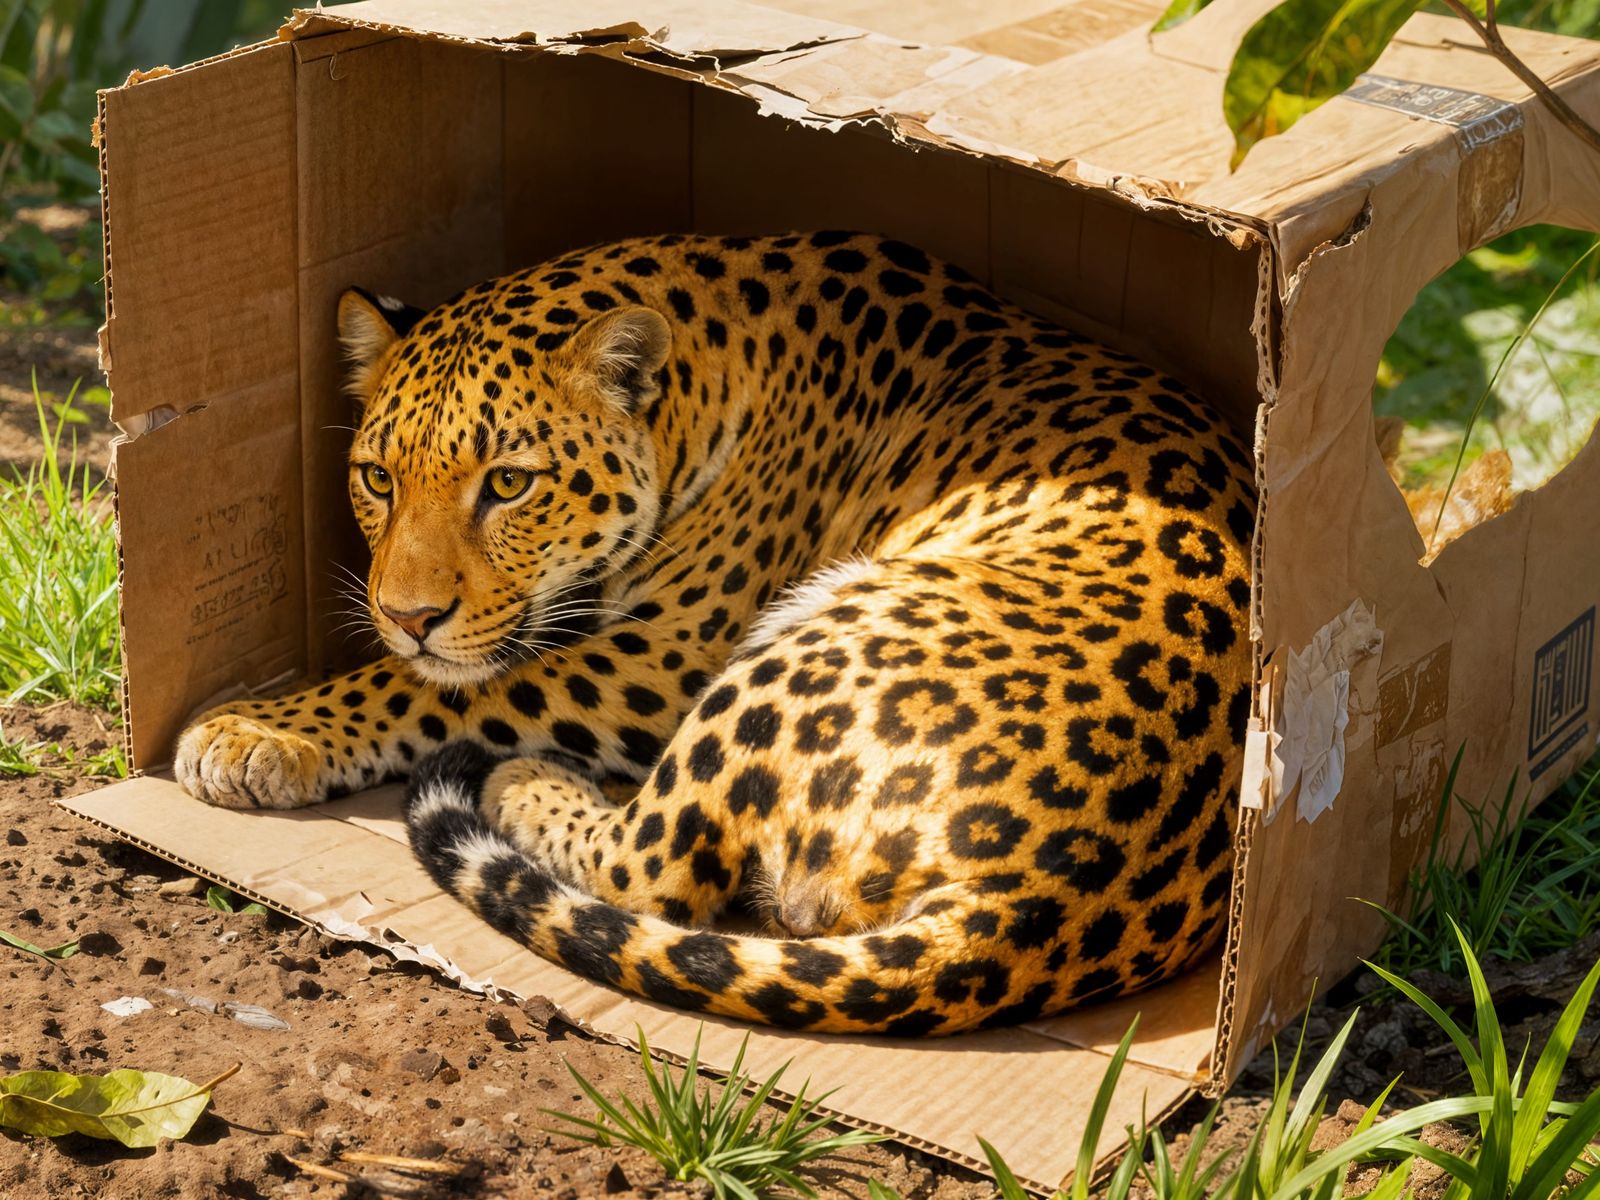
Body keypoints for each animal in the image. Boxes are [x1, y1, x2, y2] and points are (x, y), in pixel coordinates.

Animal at [175, 231, 1256, 1036]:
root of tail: (1027, 906)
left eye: (510, 483)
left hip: (812, 639)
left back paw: (524, 783)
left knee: (655, 870)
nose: (405, 617)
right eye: (377, 478)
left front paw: (254, 732)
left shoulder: (663, 656)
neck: (712, 359)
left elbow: (447, 685)